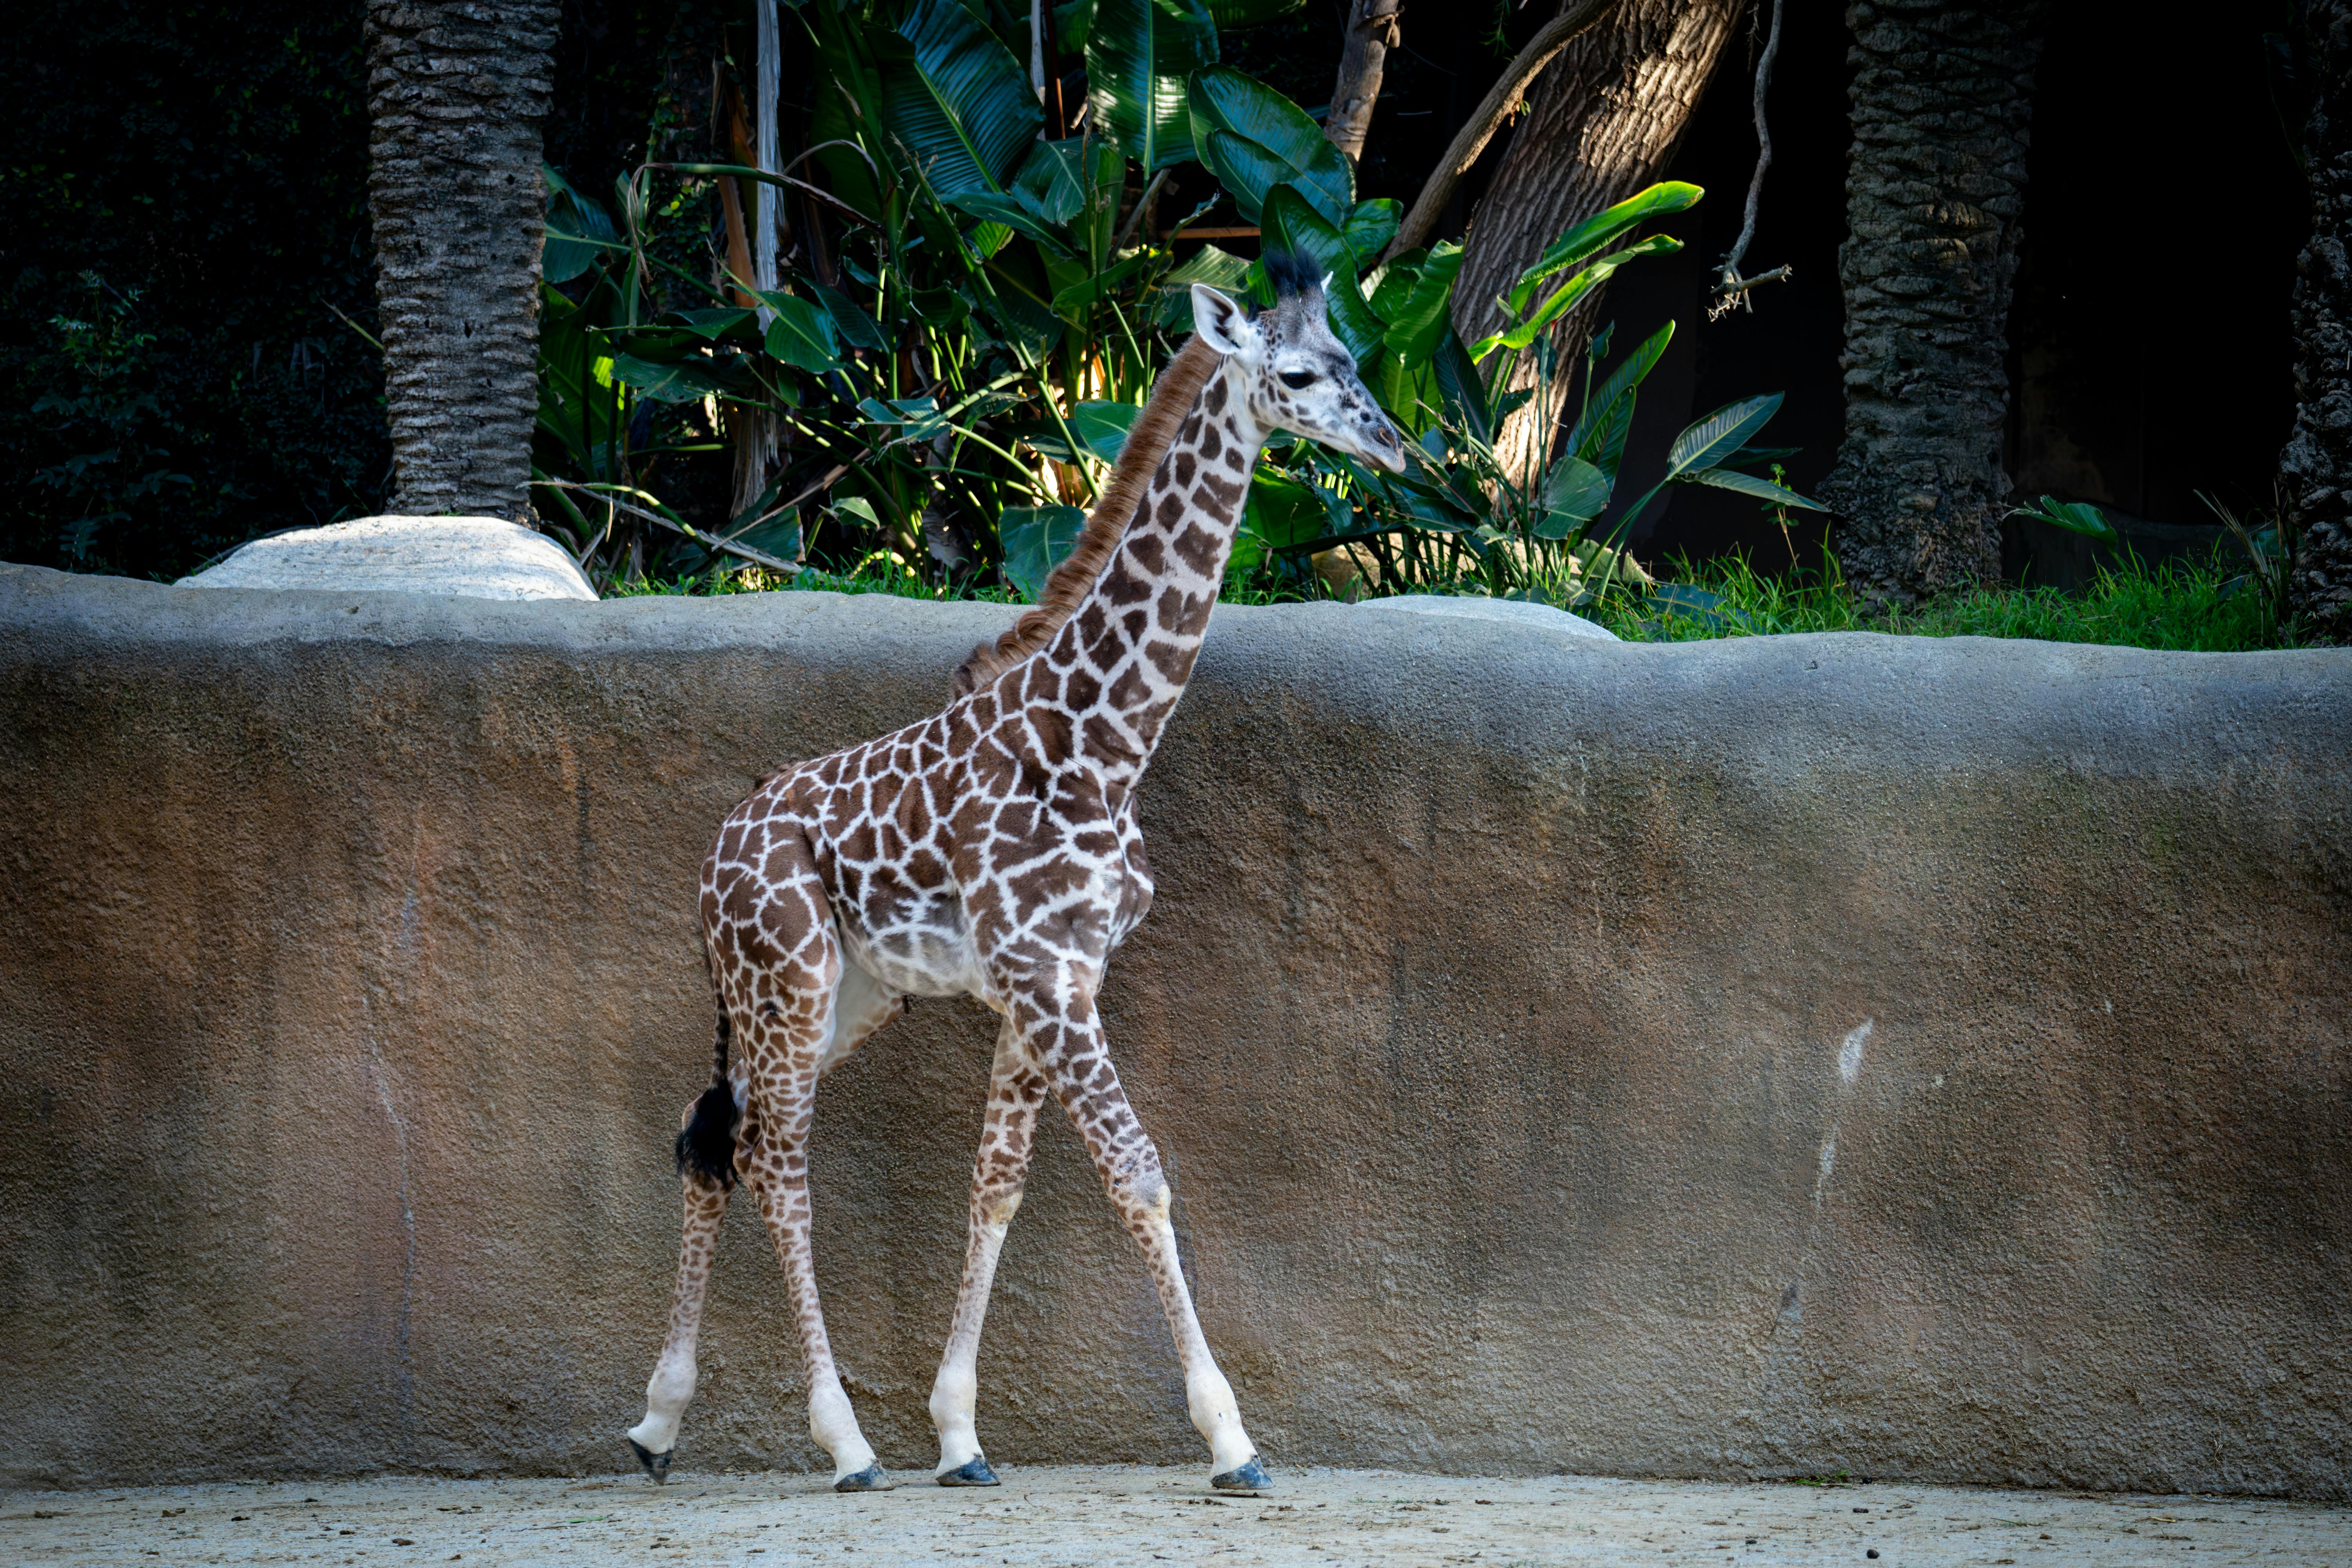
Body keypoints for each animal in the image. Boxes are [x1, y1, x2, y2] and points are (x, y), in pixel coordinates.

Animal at [624, 253, 1407, 1497]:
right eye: (1294, 375)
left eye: (1356, 362)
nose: (1396, 447)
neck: (1103, 742)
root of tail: (715, 856)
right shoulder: (1042, 975)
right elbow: (1138, 1173)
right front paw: (1231, 1439)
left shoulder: (1061, 977)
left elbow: (997, 1183)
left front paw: (960, 1436)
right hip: (787, 979)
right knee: (774, 1160)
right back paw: (844, 1444)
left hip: (840, 997)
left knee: (712, 1133)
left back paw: (659, 1423)